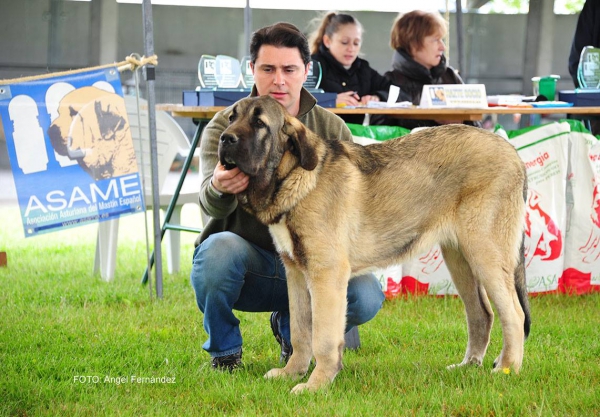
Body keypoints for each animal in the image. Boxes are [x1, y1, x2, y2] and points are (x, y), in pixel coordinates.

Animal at [218, 96, 532, 392]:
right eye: (232, 118)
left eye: (259, 123)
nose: (224, 138)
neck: (293, 175)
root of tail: (513, 154)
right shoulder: (296, 274)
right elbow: (300, 331)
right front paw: (292, 373)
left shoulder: (325, 275)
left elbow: (323, 337)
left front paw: (316, 384)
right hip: (460, 259)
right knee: (482, 313)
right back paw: (468, 366)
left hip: (485, 253)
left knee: (514, 314)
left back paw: (507, 369)